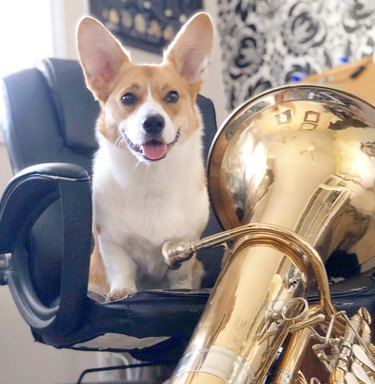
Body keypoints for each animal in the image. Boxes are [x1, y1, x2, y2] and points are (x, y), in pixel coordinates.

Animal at [77, 12, 214, 302]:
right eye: (128, 98)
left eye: (172, 96)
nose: (153, 123)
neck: (151, 176)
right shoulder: (111, 242)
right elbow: (121, 268)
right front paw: (122, 292)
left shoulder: (185, 245)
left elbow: (179, 277)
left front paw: (181, 291)